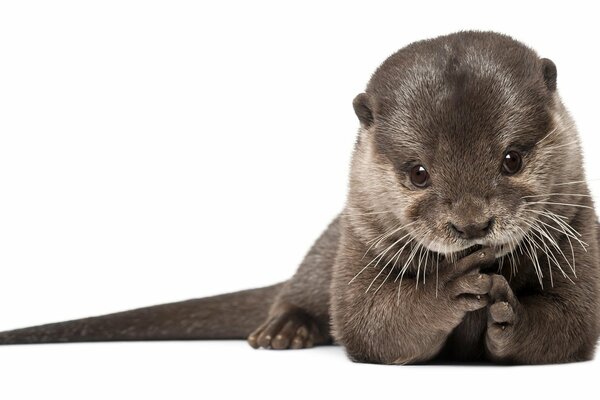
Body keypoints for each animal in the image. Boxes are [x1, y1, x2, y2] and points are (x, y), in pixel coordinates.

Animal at [1, 29, 600, 364]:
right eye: (418, 172)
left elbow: (574, 323)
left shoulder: (580, 231)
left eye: (511, 158)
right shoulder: (358, 241)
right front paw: (450, 287)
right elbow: (368, 324)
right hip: (326, 250)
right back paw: (282, 331)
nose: (472, 224)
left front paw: (511, 313)